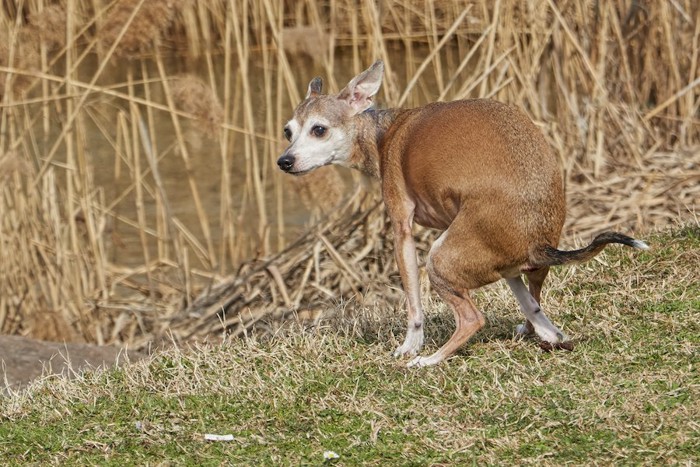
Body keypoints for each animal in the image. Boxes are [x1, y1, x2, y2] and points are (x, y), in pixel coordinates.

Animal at [276, 62, 648, 368]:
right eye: (288, 131)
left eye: (319, 129)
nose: (284, 161)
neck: (384, 133)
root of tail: (537, 242)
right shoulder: (504, 269)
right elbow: (526, 301)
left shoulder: (402, 230)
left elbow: (414, 305)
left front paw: (409, 347)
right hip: (513, 264)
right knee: (534, 305)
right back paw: (544, 333)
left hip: (438, 260)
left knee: (472, 319)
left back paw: (428, 360)